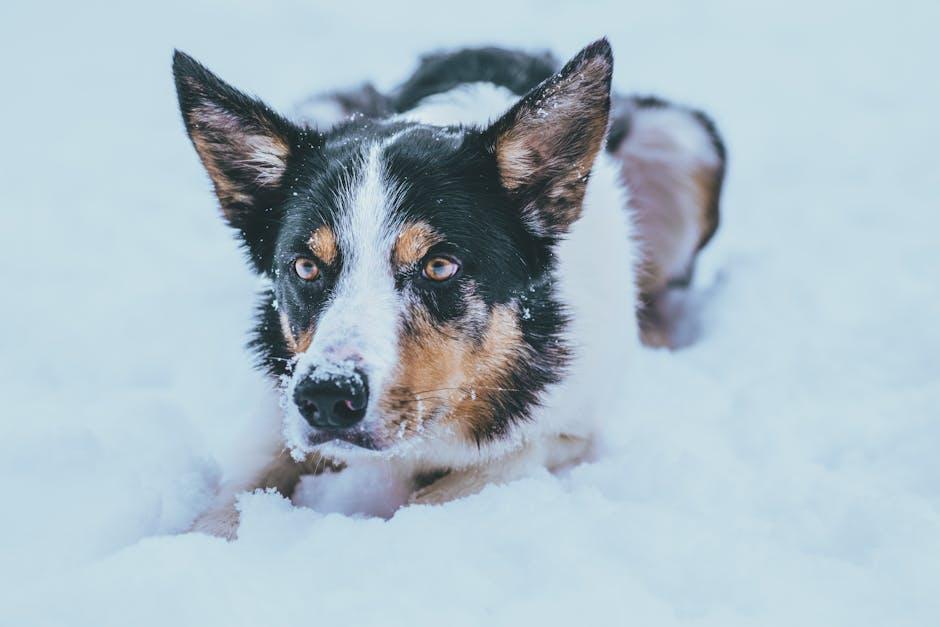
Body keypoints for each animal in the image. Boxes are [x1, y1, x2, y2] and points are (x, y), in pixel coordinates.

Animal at [176, 39, 728, 540]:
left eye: (439, 267)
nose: (329, 395)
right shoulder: (281, 399)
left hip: (685, 137)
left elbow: (484, 470)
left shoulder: (572, 427)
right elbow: (240, 487)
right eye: (306, 267)